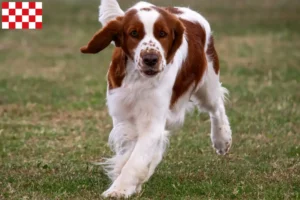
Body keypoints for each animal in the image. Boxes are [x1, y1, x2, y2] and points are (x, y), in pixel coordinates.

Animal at [80, 0, 232, 197]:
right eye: (134, 33)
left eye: (163, 34)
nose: (150, 59)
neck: (138, 78)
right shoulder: (123, 115)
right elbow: (130, 153)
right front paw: (130, 182)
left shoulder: (152, 122)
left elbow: (136, 160)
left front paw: (119, 189)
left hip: (208, 84)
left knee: (216, 107)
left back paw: (222, 139)